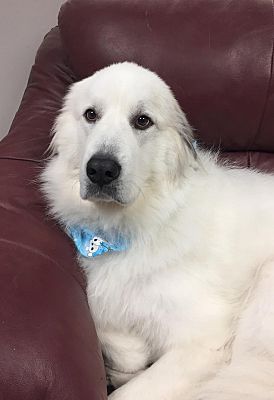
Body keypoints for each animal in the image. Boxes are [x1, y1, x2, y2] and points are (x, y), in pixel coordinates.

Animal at [41, 61, 274, 398]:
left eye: (142, 121)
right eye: (91, 115)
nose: (101, 169)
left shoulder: (203, 343)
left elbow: (129, 392)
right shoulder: (105, 297)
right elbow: (115, 333)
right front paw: (126, 362)